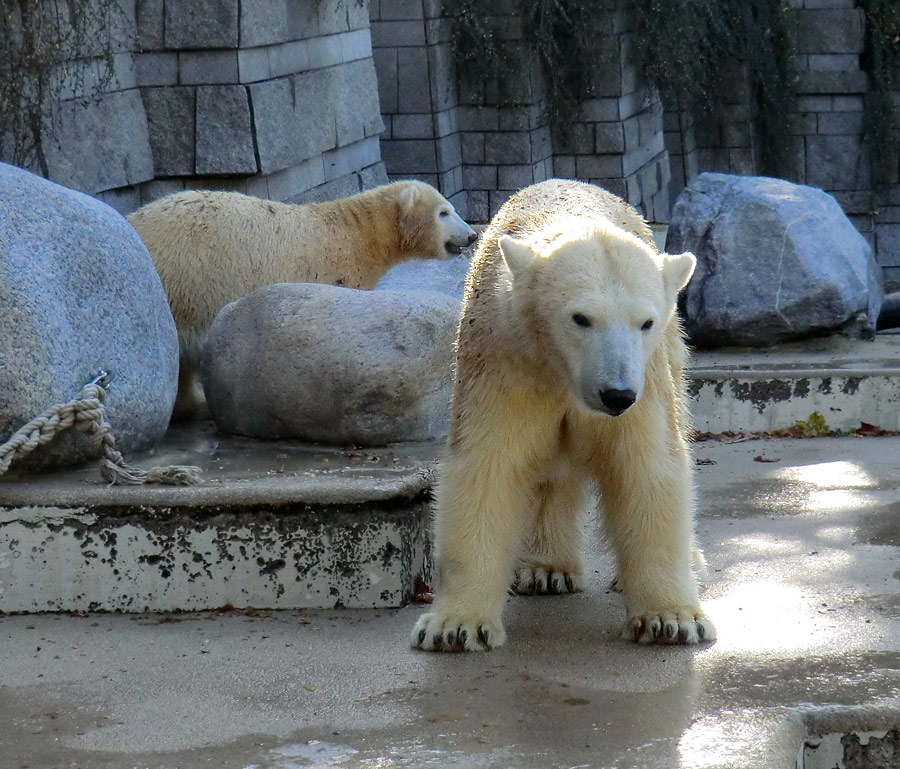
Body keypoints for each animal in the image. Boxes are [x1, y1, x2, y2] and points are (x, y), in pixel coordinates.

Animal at [130, 180, 478, 420]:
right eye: (444, 212)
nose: (472, 235)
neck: (356, 233)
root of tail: (134, 220)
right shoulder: (333, 270)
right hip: (187, 280)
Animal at [410, 178, 716, 648]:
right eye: (581, 318)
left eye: (644, 322)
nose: (617, 395)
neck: (564, 371)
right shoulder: (509, 363)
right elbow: (487, 466)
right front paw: (455, 627)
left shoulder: (646, 380)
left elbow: (646, 467)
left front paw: (671, 619)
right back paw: (546, 567)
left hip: (672, 354)